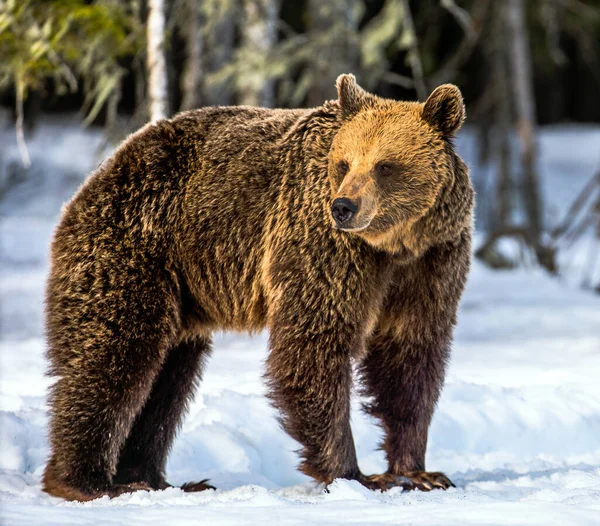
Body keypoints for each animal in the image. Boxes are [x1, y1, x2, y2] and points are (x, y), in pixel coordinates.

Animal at [41, 74, 474, 504]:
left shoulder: (432, 264)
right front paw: (353, 474)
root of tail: (96, 178)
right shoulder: (325, 249)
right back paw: (90, 482)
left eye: (385, 165)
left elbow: (409, 358)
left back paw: (159, 479)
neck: (395, 244)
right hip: (134, 249)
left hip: (181, 293)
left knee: (168, 379)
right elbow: (314, 345)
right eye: (344, 162)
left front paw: (419, 471)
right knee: (115, 355)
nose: (344, 207)